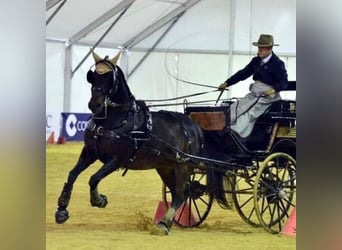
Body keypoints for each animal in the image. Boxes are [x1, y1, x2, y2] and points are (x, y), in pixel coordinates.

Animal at [54, 50, 204, 234]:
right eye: (93, 76)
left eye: (110, 78)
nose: (94, 105)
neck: (114, 120)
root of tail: (194, 126)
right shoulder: (90, 152)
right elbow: (72, 174)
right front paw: (62, 209)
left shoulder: (117, 158)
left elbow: (94, 178)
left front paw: (99, 200)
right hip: (165, 166)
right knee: (177, 192)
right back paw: (166, 222)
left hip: (183, 165)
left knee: (182, 193)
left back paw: (164, 223)